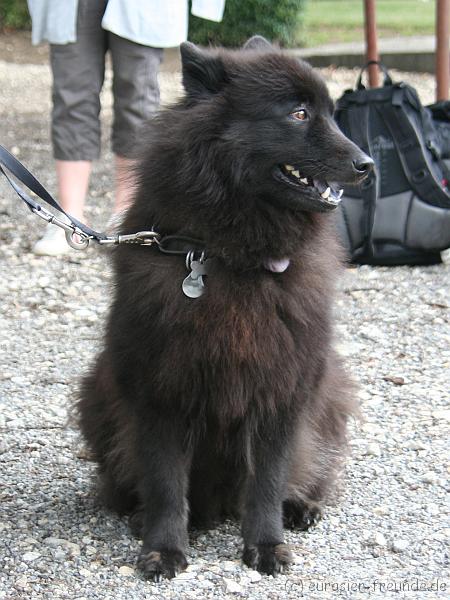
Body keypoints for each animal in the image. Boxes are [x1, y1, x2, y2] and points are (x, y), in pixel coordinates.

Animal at [77, 35, 372, 580]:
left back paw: (302, 506)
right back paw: (143, 517)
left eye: (332, 113)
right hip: (97, 392)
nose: (367, 164)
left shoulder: (281, 392)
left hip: (329, 398)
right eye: (298, 113)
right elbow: (166, 483)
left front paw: (267, 545)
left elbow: (268, 481)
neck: (231, 257)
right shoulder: (162, 391)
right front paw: (162, 549)